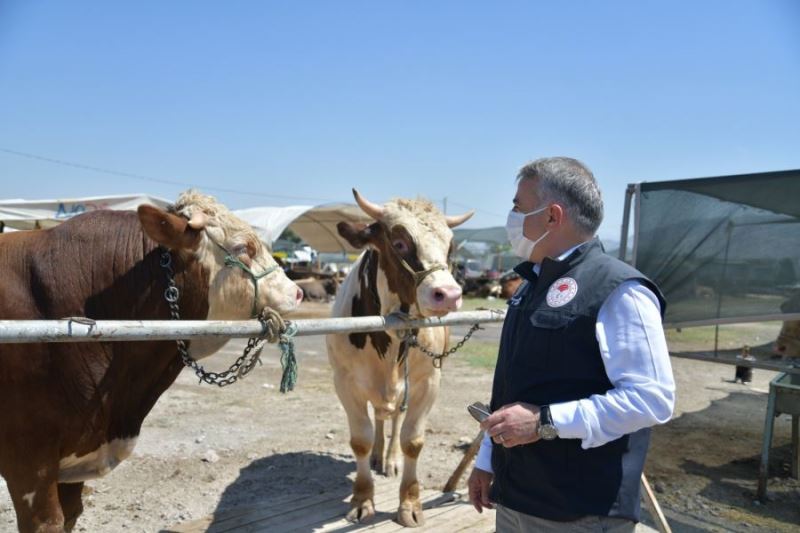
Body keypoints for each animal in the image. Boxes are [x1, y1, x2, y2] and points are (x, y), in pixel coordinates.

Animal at [326, 189, 476, 524]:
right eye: (399, 243)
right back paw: (379, 455)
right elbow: (361, 440)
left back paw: (390, 459)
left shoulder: (429, 382)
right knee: (381, 420)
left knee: (393, 419)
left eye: (449, 247)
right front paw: (362, 498)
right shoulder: (345, 384)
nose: (448, 295)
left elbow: (412, 441)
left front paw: (409, 503)